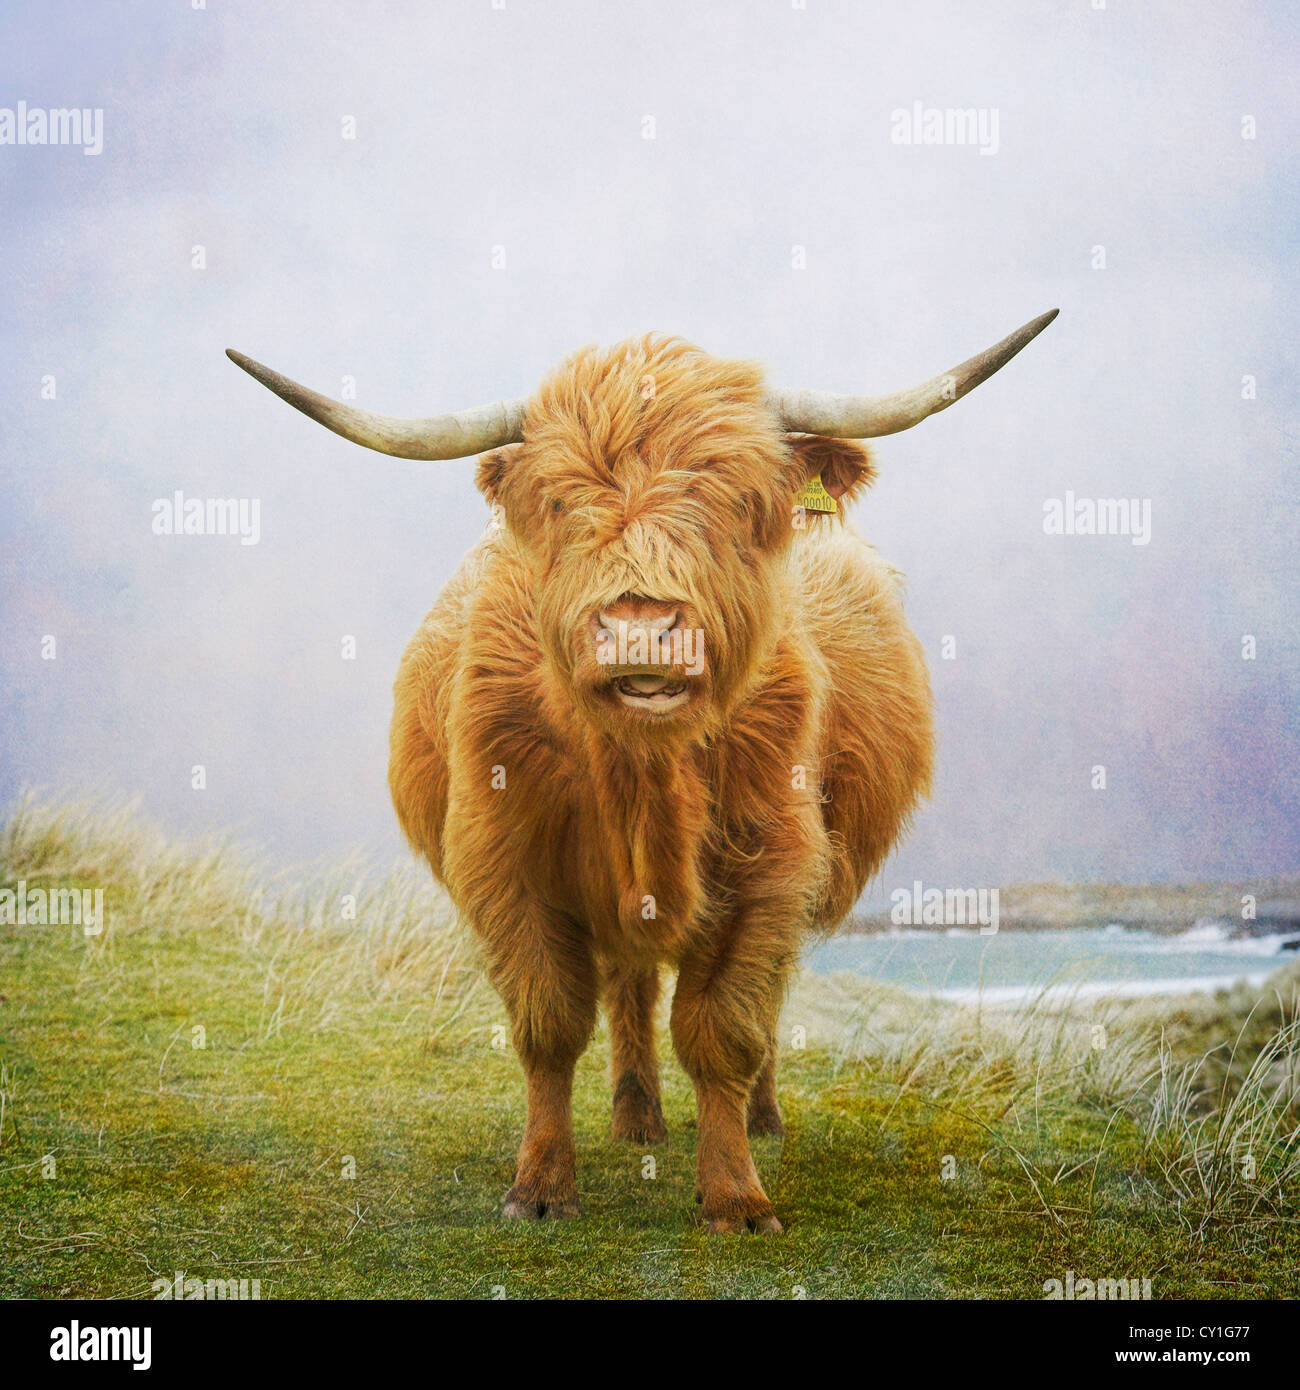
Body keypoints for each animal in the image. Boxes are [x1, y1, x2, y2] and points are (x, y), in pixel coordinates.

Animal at [227, 309, 1057, 1233]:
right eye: (559, 502)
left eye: (739, 501)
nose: (640, 632)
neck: (642, 777)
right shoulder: (506, 862)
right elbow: (549, 1025)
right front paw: (540, 1186)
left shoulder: (772, 868)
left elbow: (725, 1027)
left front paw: (736, 1196)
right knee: (628, 986)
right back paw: (635, 1116)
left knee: (758, 1004)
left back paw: (761, 1118)